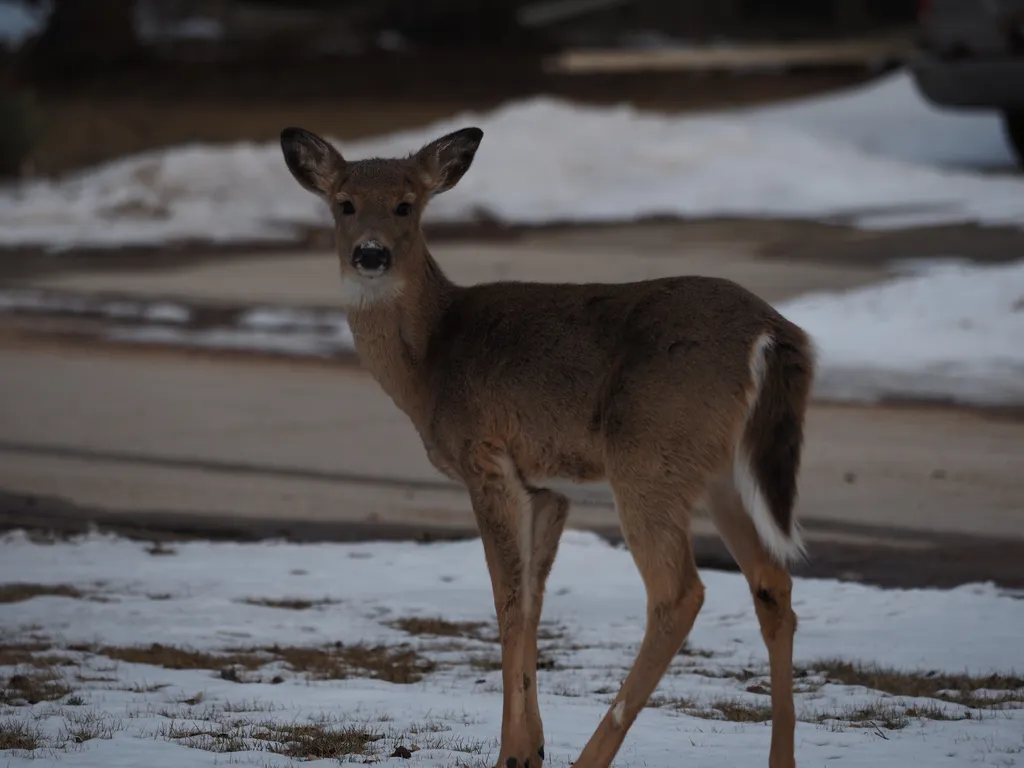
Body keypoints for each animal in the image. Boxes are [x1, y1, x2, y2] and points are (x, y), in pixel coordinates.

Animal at [280, 121, 815, 768]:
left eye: (406, 204)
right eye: (345, 203)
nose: (371, 254)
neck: (430, 361)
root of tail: (772, 334)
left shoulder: (486, 456)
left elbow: (507, 601)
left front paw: (512, 753)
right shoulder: (548, 485)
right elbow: (533, 603)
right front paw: (530, 747)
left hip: (650, 454)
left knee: (678, 594)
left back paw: (592, 756)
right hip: (720, 472)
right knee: (772, 583)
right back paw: (780, 759)